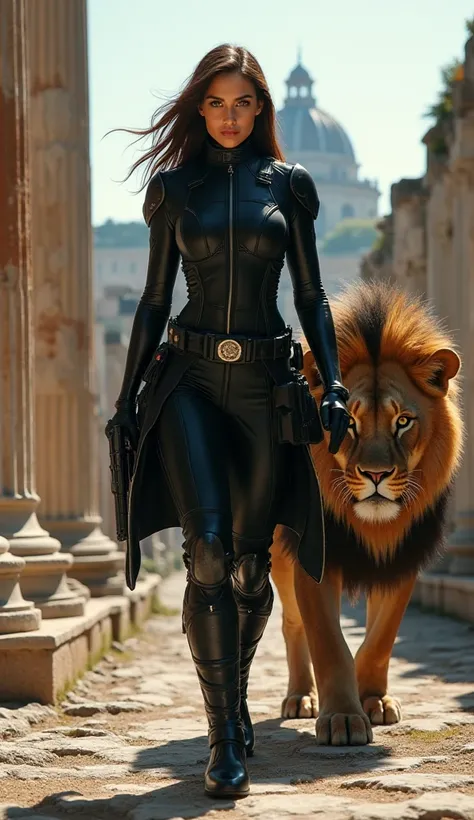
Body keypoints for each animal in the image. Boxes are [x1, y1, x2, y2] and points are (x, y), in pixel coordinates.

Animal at [270, 280, 462, 744]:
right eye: (349, 424)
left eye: (403, 421)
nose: (376, 475)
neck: (372, 527)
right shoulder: (315, 560)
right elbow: (327, 641)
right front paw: (342, 716)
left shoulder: (403, 556)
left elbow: (380, 637)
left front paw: (372, 698)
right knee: (292, 623)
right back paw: (300, 697)